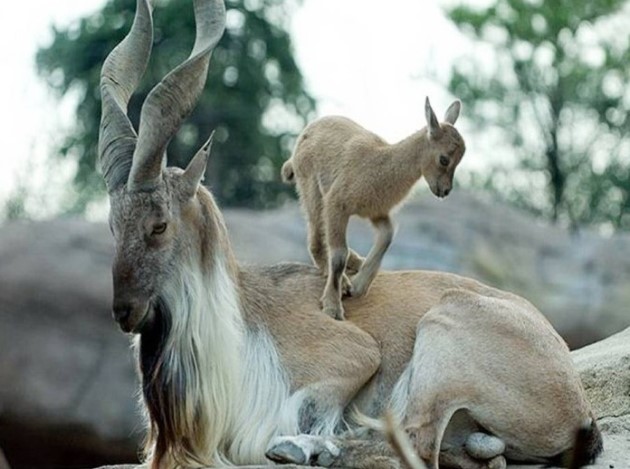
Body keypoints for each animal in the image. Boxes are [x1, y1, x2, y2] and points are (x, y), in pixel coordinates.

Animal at [284, 98, 466, 318]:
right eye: (444, 159)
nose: (445, 191)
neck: (378, 164)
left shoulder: (376, 212)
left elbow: (387, 236)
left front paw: (359, 286)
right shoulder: (336, 204)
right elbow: (338, 255)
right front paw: (333, 307)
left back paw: (356, 262)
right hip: (311, 188)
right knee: (316, 239)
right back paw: (340, 278)